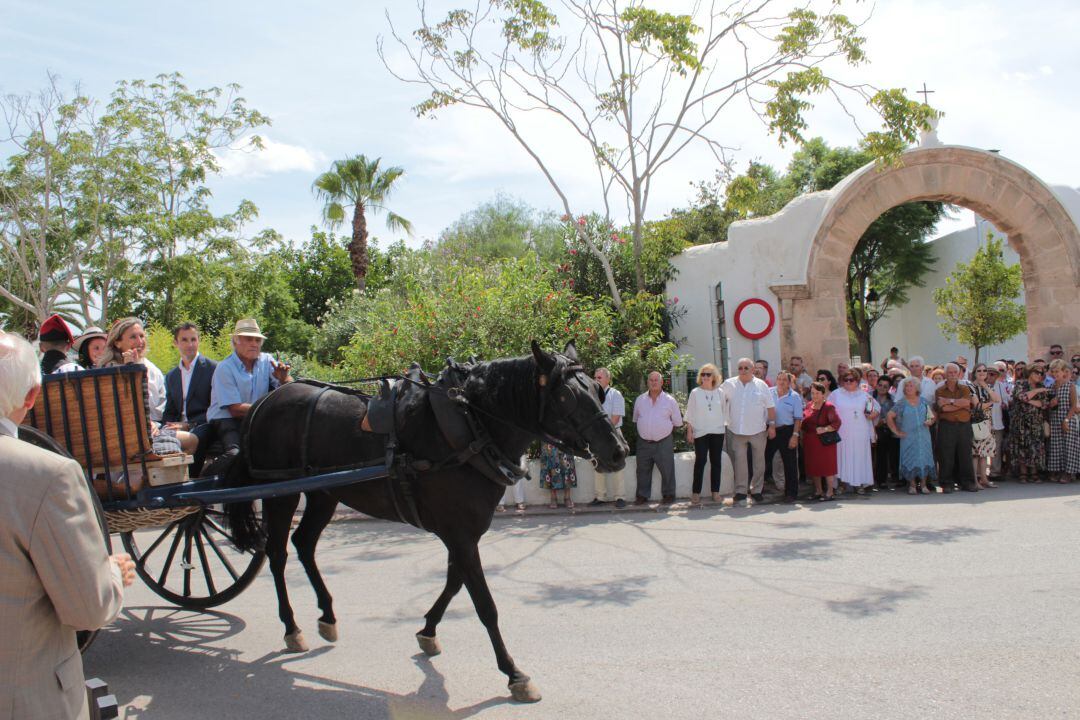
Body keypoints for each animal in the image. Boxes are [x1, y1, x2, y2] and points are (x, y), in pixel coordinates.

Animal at [224, 343, 630, 703]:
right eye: (565, 397)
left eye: (597, 390)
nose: (619, 451)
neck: (471, 426)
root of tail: (264, 402)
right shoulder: (461, 534)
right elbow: (485, 604)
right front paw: (514, 673)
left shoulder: (462, 533)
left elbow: (453, 583)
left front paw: (428, 630)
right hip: (280, 492)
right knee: (277, 553)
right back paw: (291, 627)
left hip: (324, 493)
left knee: (304, 544)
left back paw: (327, 615)